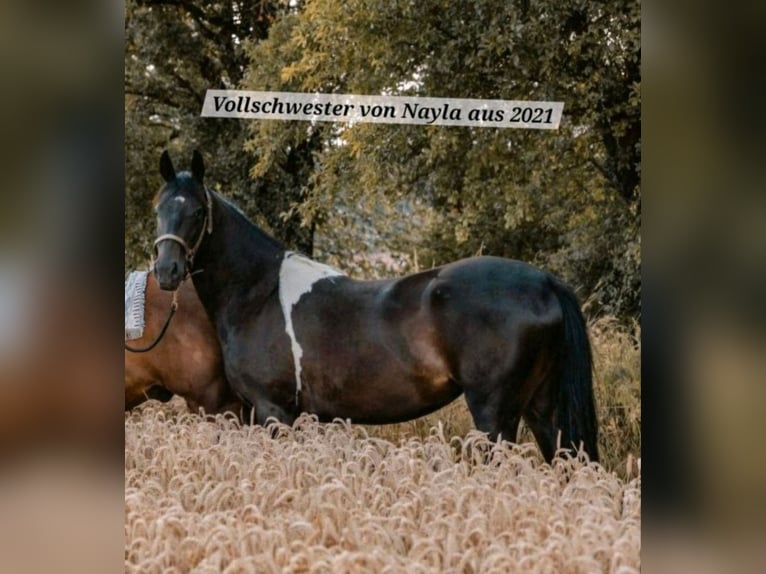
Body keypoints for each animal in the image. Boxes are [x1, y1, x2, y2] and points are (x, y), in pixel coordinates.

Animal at [151, 150, 599, 462]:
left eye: (197, 211)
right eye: (159, 209)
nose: (166, 270)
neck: (258, 294)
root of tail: (545, 282)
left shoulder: (273, 411)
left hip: (495, 414)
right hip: (541, 406)